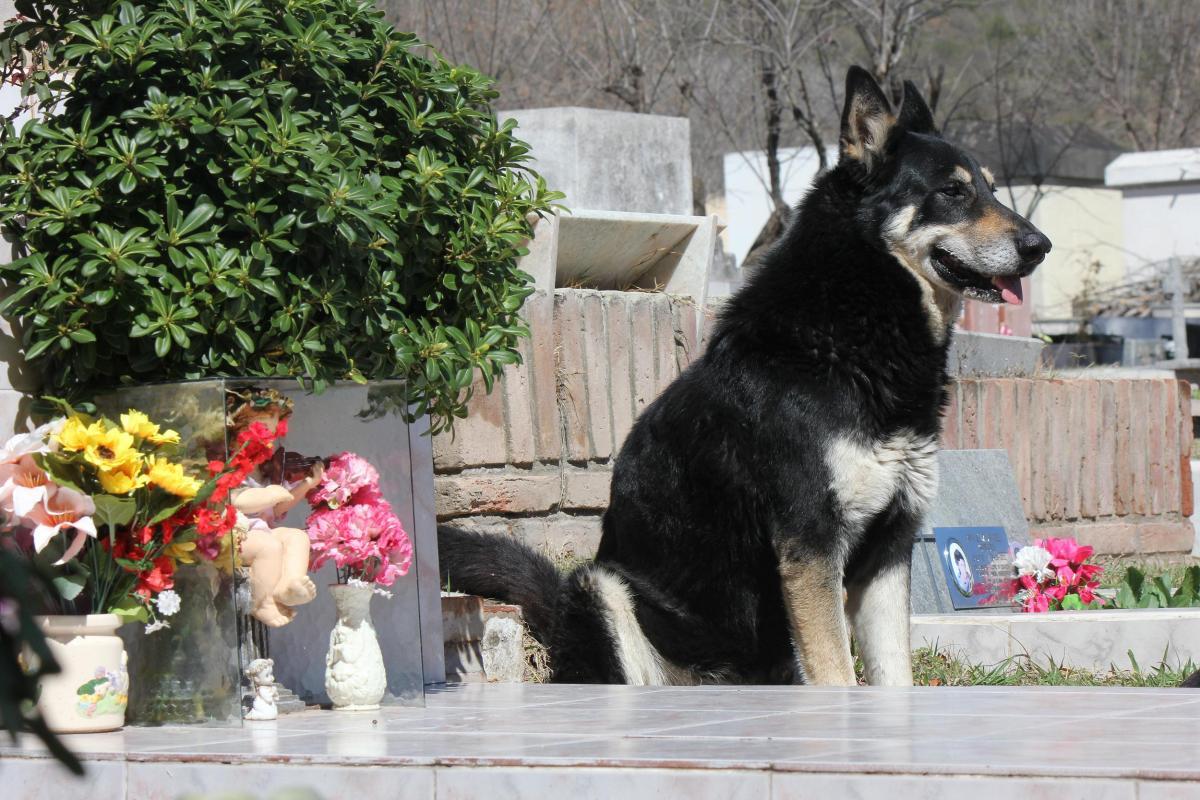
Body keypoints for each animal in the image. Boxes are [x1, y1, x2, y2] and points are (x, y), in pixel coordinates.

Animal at [439, 64, 1051, 690]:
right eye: (952, 192)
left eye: (992, 189)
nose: (1040, 246)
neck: (852, 329)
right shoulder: (811, 544)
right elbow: (838, 675)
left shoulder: (889, 549)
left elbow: (893, 678)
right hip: (604, 589)